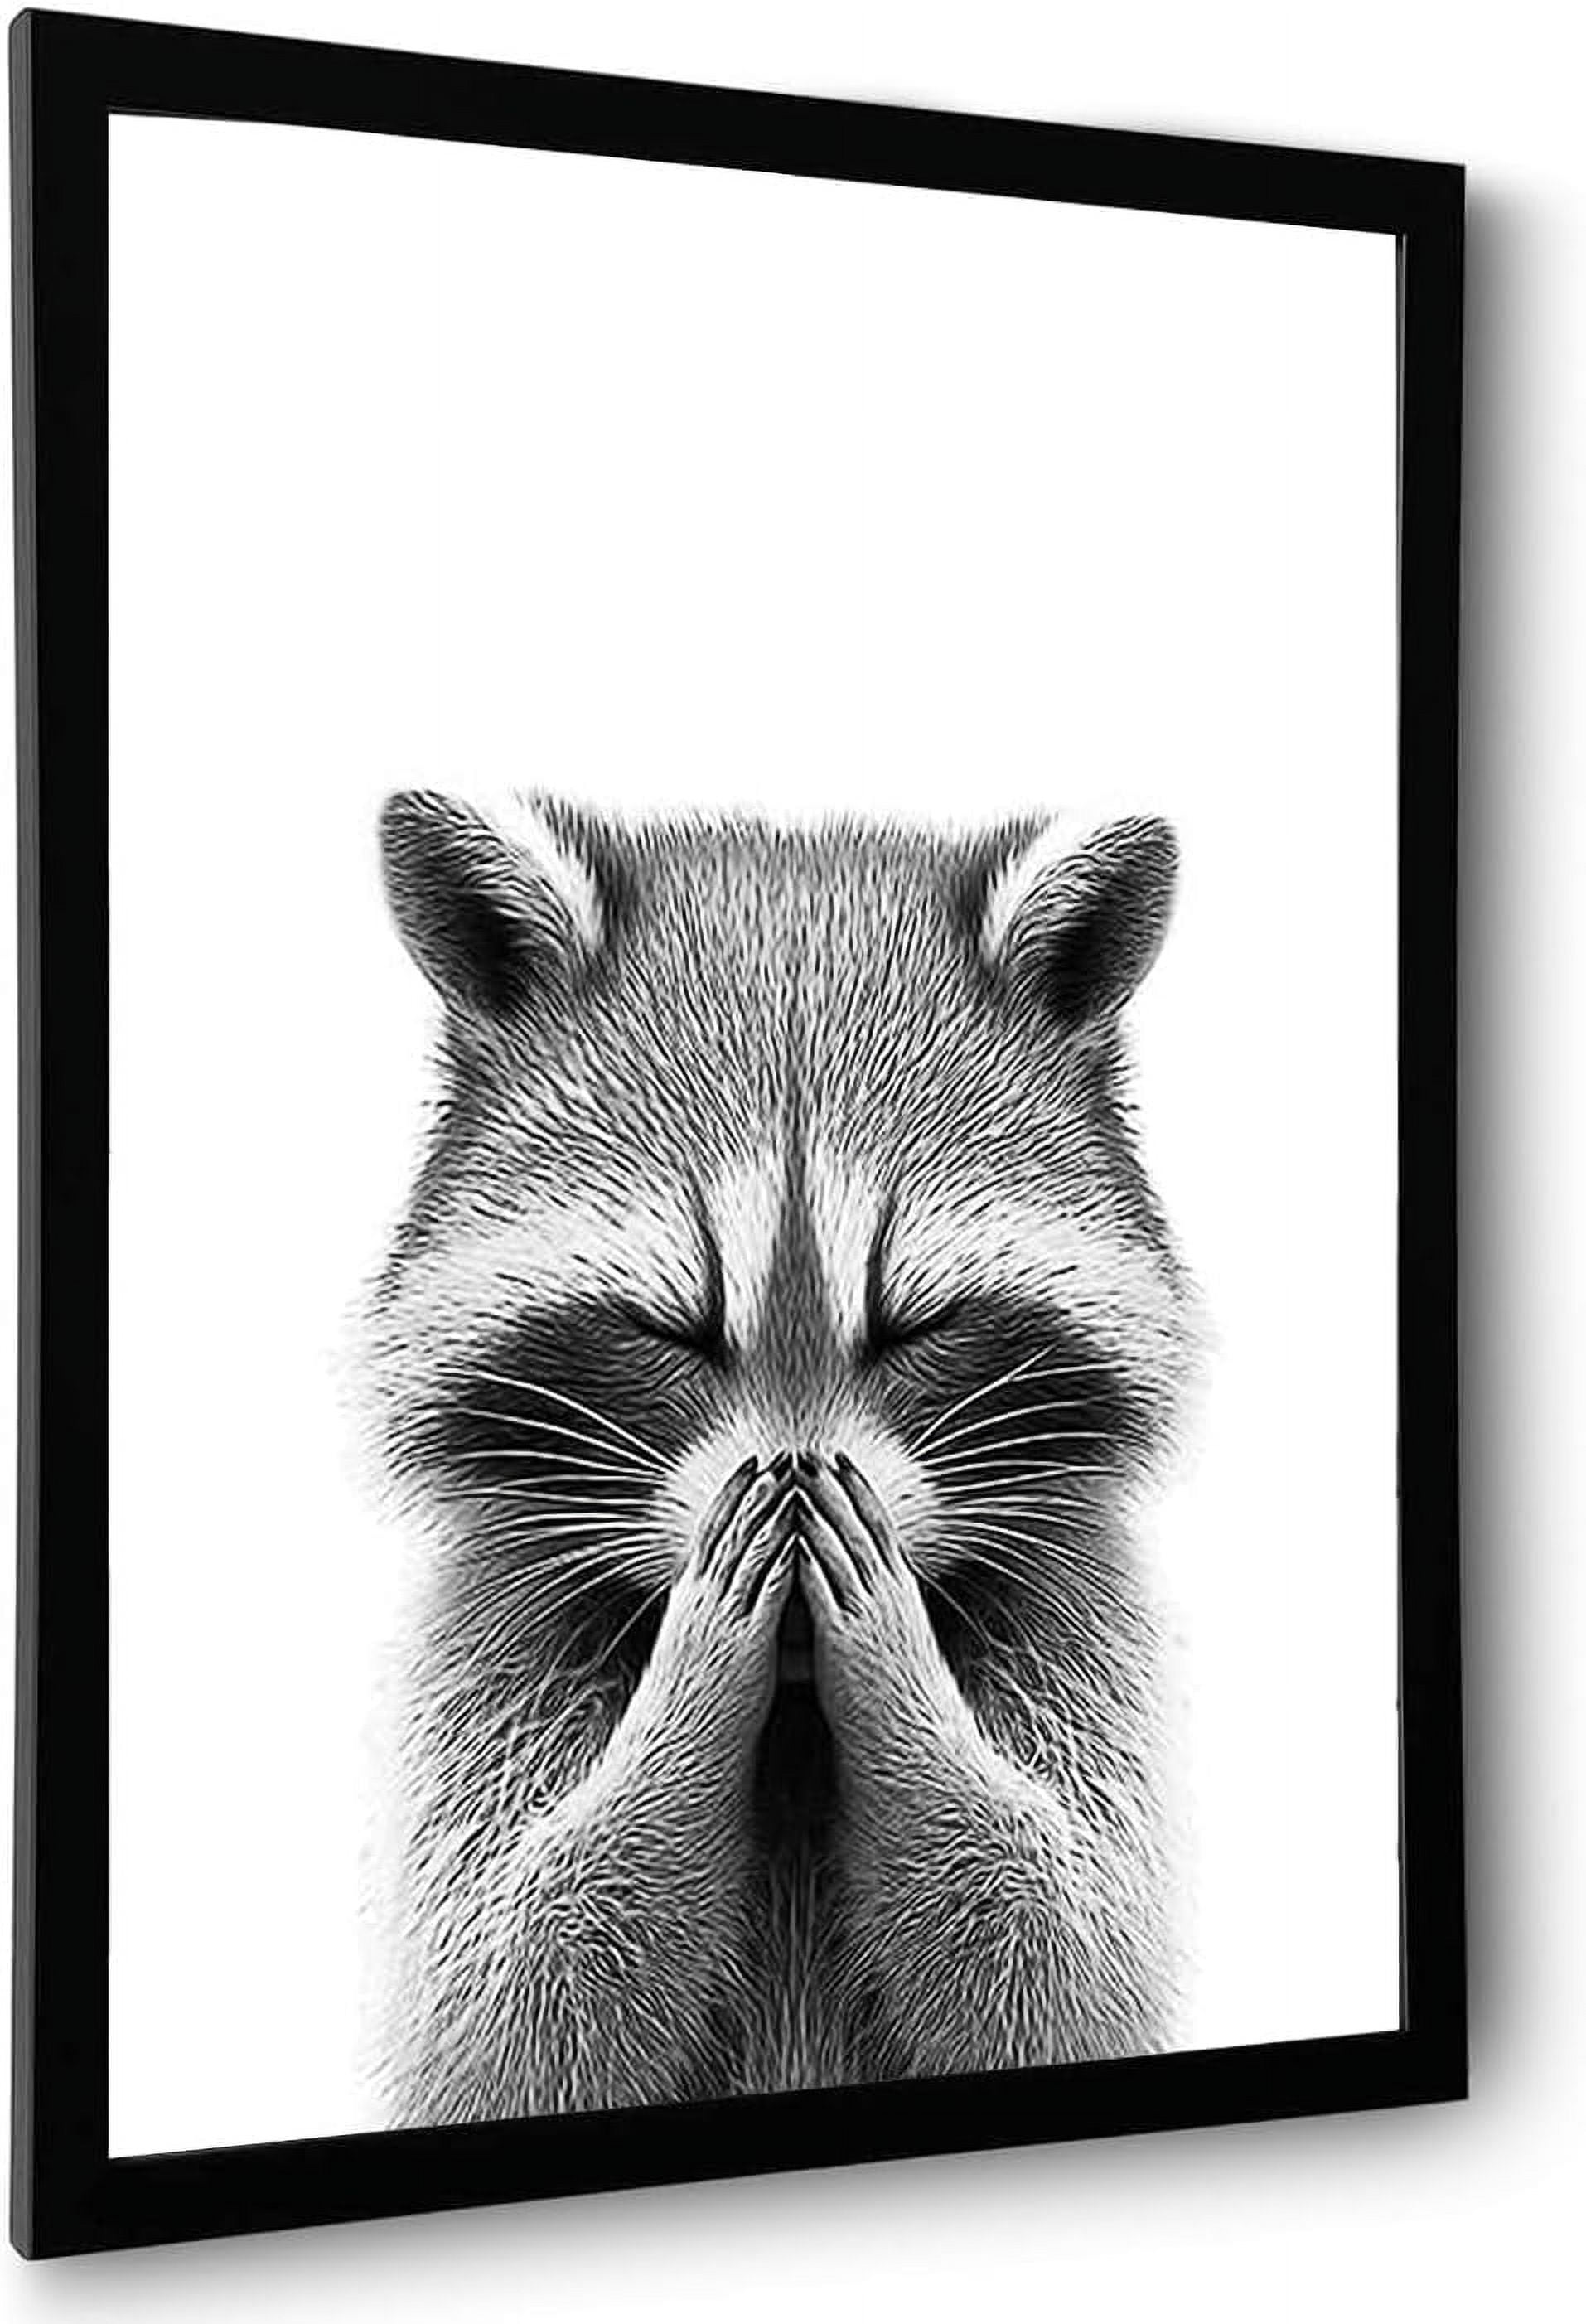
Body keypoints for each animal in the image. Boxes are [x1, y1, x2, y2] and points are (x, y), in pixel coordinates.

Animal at [360, 790, 1199, 2125]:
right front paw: (695, 1683)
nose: (798, 1482)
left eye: (917, 1324)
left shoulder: (1080, 1633)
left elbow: (1060, 1964)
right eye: (671, 1329)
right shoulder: (489, 1644)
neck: (798, 1703)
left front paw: (899, 1678)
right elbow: (509, 2008)